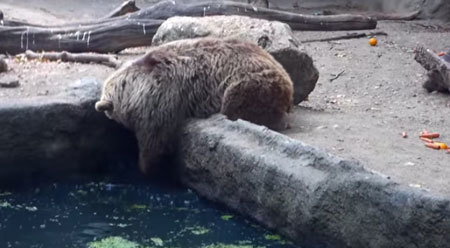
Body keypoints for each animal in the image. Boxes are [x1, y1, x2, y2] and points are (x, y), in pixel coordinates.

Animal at [95, 38, 294, 174]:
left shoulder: (161, 98)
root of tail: (288, 79)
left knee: (237, 105)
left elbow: (154, 139)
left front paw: (146, 166)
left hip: (248, 82)